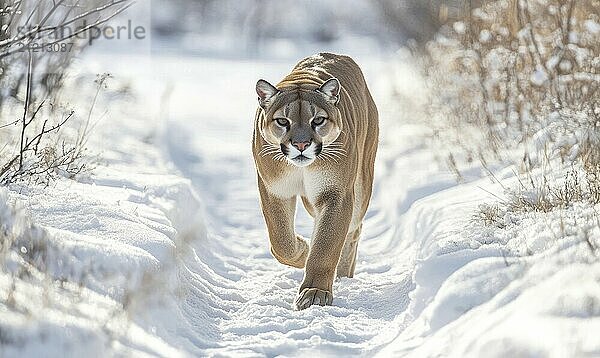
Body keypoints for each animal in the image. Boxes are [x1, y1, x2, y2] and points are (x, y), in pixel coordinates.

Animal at [253, 51, 380, 310]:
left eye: (318, 120)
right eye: (283, 121)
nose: (301, 144)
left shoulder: (335, 193)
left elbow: (326, 243)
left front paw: (315, 292)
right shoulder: (274, 189)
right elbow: (281, 241)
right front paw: (303, 250)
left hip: (361, 184)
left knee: (353, 229)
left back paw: (342, 274)